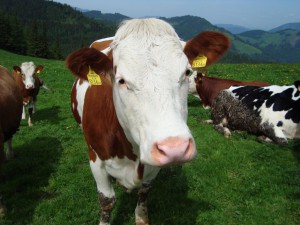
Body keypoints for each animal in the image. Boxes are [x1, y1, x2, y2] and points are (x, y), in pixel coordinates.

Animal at [65, 17, 230, 225]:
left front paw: (141, 216)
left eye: (186, 72)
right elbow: (106, 200)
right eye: (121, 80)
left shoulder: (152, 166)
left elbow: (144, 192)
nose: (175, 148)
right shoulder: (96, 159)